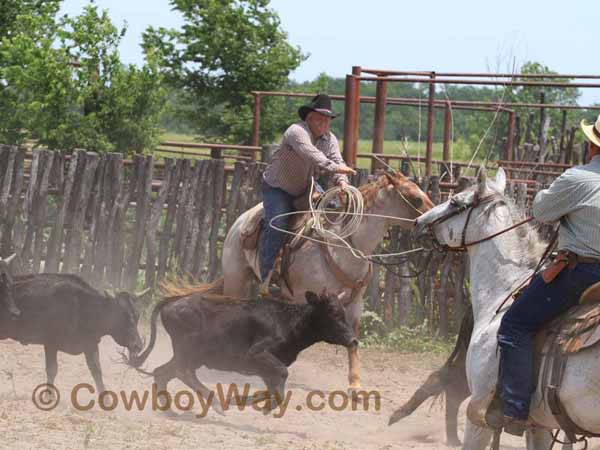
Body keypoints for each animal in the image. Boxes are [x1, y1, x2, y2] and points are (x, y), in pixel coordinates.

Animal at [0, 272, 145, 392]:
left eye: (138, 316)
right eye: (123, 315)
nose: (138, 345)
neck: (82, 307)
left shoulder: (90, 344)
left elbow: (97, 371)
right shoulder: (50, 343)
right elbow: (52, 370)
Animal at [130, 288, 356, 414]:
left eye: (343, 312)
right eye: (332, 312)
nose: (353, 340)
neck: (288, 322)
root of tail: (175, 300)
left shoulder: (266, 370)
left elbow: (272, 390)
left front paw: (237, 400)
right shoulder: (257, 355)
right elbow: (281, 380)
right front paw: (266, 407)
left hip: (190, 355)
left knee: (163, 372)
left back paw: (168, 408)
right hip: (189, 350)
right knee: (181, 372)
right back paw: (215, 402)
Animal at [220, 171, 432, 388]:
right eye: (416, 198)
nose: (430, 224)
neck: (344, 247)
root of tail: (240, 221)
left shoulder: (355, 305)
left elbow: (353, 342)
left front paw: (355, 384)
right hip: (236, 279)